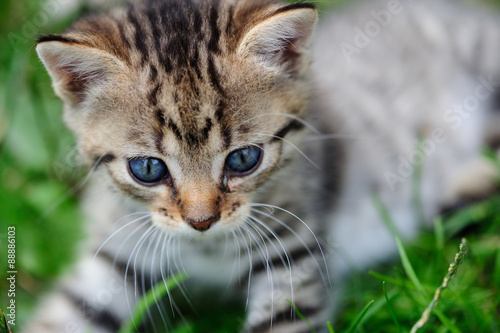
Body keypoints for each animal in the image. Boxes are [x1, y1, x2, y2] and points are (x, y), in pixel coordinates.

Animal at [28, 0, 500, 330]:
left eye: (243, 159)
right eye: (147, 169)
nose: (201, 221)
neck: (204, 250)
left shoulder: (293, 252)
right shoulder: (116, 254)